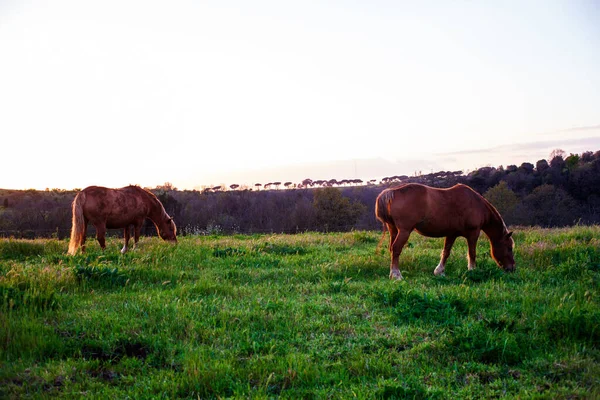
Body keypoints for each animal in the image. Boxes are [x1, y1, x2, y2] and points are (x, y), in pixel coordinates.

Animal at [376, 184, 510, 280]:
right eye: (509, 248)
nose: (511, 268)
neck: (476, 204)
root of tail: (391, 192)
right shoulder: (473, 233)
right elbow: (472, 253)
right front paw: (472, 270)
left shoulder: (451, 234)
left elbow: (446, 252)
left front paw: (439, 271)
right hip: (404, 231)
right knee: (396, 249)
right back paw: (396, 275)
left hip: (394, 230)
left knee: (392, 249)